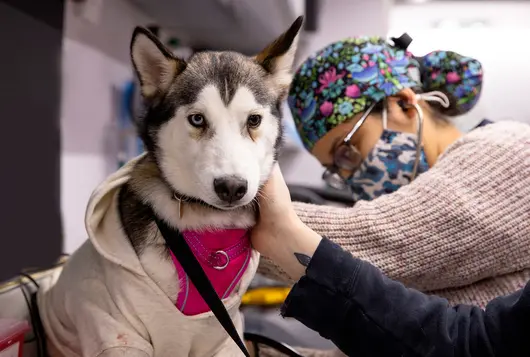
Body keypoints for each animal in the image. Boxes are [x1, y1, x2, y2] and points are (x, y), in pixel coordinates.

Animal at [36, 15, 302, 354]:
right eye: (197, 119)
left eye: (253, 120)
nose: (231, 187)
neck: (208, 224)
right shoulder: (115, 326)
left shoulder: (222, 338)